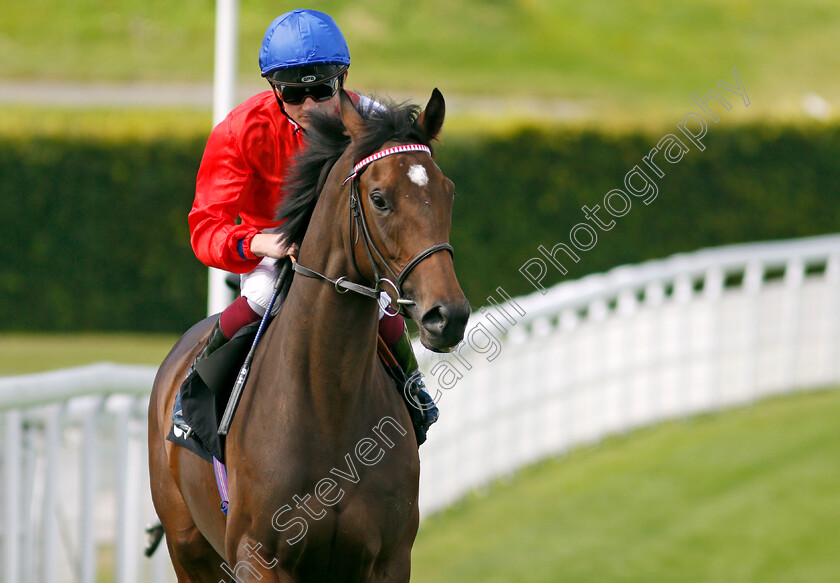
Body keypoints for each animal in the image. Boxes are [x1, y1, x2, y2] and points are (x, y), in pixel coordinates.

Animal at [148, 89, 470, 580]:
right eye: (379, 199)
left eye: (447, 191)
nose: (447, 316)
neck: (327, 401)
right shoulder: (257, 556)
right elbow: (207, 221)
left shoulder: (389, 558)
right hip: (188, 548)